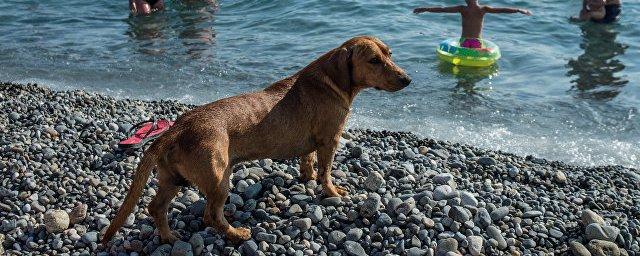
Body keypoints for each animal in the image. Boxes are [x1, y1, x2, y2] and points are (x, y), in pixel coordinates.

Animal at [100, 35, 410, 244]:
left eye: (390, 53)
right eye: (374, 61)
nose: (407, 80)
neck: (332, 81)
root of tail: (175, 129)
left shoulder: (313, 144)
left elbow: (308, 162)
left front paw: (307, 177)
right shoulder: (330, 140)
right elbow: (326, 173)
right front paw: (332, 192)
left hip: (173, 179)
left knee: (156, 207)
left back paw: (168, 237)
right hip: (219, 178)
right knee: (211, 215)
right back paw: (236, 233)